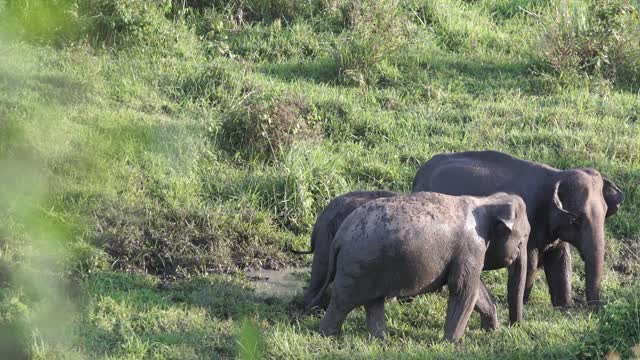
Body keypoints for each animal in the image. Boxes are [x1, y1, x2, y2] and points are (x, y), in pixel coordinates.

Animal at [308, 193, 532, 342]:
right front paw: (452, 343)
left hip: (373, 267)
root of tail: (340, 236)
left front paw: (492, 329)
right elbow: (463, 288)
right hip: (358, 267)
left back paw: (381, 341)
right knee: (343, 301)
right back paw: (330, 337)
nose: (515, 327)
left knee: (373, 302)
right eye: (524, 238)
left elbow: (475, 289)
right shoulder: (471, 246)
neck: (486, 201)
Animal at [410, 150, 624, 308]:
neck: (556, 175)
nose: (595, 310)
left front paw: (564, 308)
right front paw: (526, 303)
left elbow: (561, 261)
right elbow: (531, 262)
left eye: (606, 213)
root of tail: (419, 174)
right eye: (576, 220)